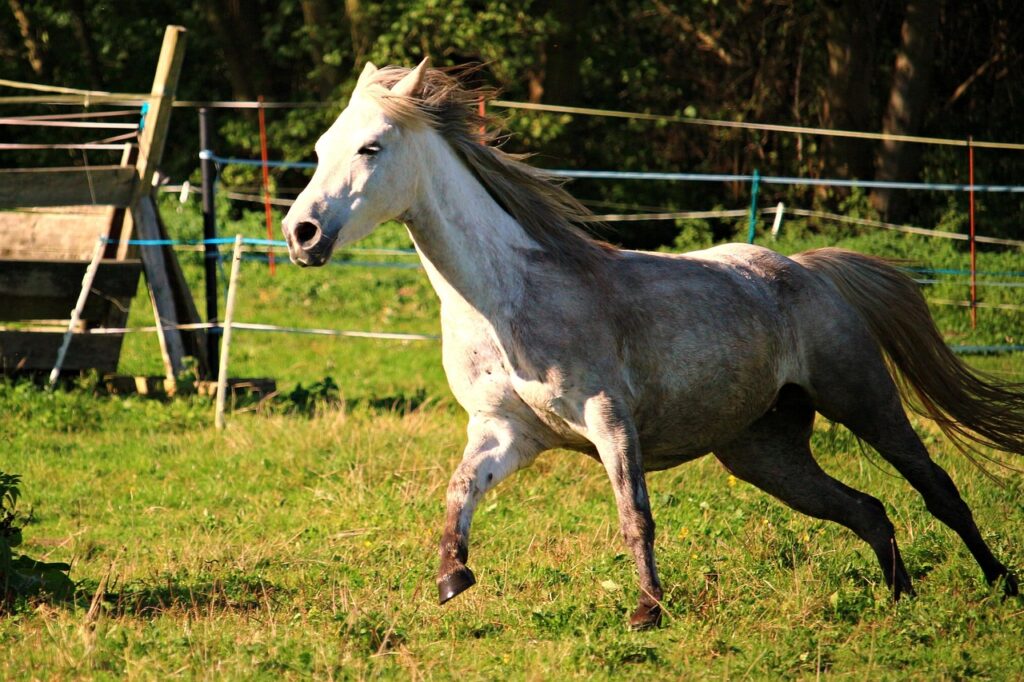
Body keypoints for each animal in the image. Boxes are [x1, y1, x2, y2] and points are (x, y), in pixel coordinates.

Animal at [281, 58, 1024, 629]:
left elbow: (634, 514)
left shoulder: (609, 415)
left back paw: (999, 585)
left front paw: (647, 611)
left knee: (936, 487)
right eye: (320, 149)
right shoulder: (504, 431)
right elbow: (459, 492)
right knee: (867, 510)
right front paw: (451, 577)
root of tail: (810, 271)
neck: (504, 299)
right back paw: (902, 598)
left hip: (863, 400)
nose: (301, 234)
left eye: (372, 147)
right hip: (765, 453)